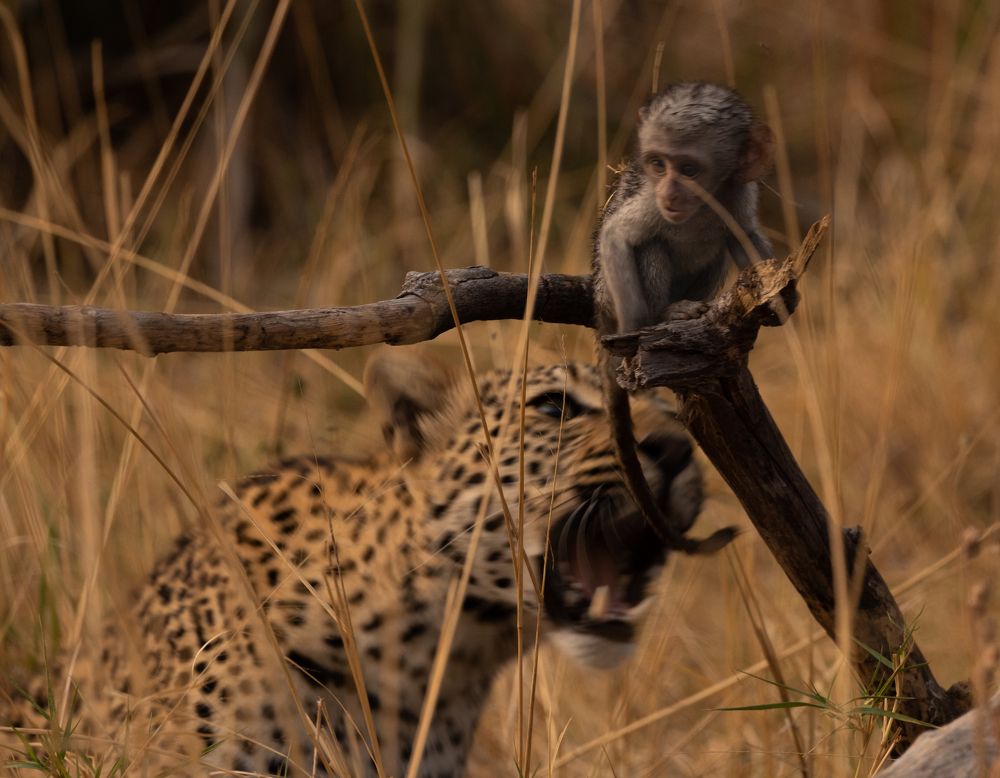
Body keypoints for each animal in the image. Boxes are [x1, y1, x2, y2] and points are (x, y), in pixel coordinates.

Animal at [592, 81, 775, 555]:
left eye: (689, 169)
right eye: (658, 164)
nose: (670, 193)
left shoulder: (737, 194)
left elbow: (743, 235)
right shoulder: (649, 203)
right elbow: (619, 237)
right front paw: (634, 334)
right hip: (608, 294)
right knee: (650, 246)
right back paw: (661, 317)